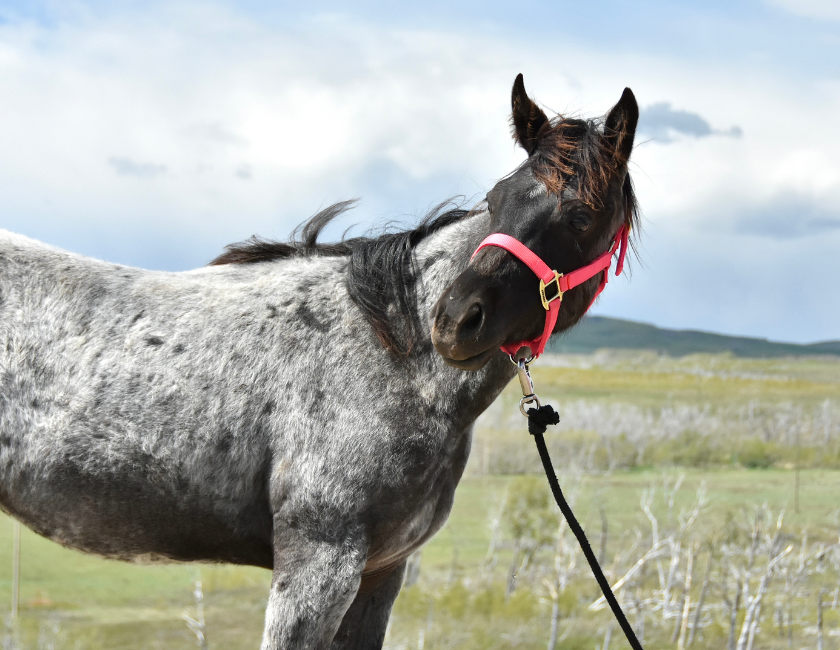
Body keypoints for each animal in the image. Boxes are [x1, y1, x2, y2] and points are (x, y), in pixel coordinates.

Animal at [0, 74, 638, 649]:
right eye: (494, 200)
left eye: (580, 217)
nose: (456, 320)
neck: (390, 354)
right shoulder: (318, 567)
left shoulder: (381, 573)